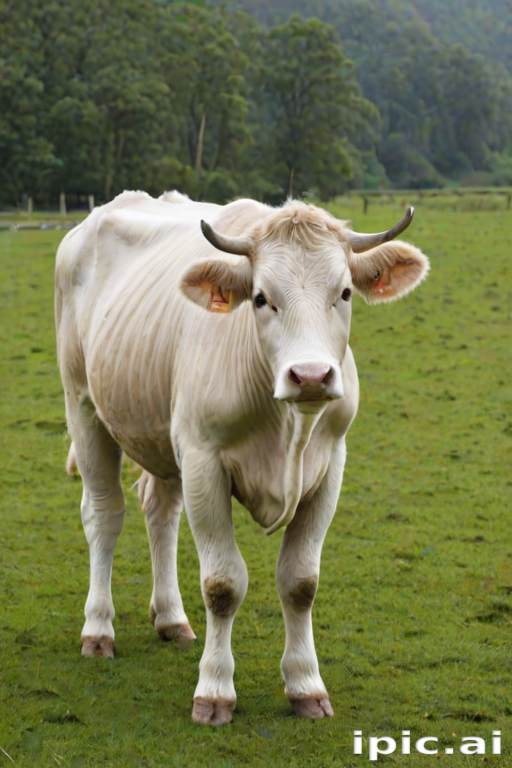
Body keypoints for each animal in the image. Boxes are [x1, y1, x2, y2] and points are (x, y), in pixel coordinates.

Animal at [55, 190, 429, 726]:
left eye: (344, 293)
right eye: (260, 297)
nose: (311, 376)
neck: (286, 427)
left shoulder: (330, 467)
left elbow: (301, 581)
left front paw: (306, 686)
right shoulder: (204, 462)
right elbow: (223, 584)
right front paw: (214, 693)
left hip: (160, 431)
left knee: (159, 512)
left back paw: (171, 618)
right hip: (83, 406)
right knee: (104, 516)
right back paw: (98, 629)